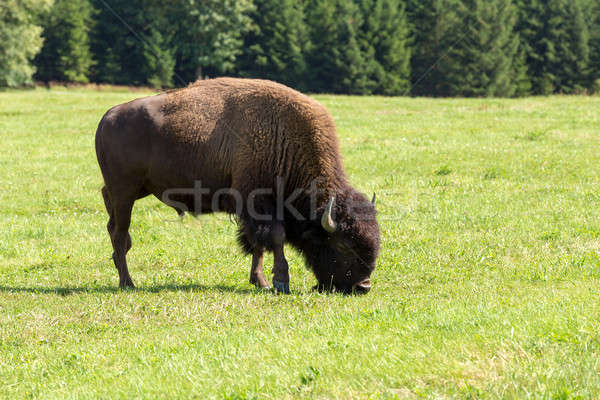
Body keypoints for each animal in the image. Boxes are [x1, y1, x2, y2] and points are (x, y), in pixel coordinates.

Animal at [94, 79, 380, 294]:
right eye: (342, 245)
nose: (363, 286)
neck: (285, 138)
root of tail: (106, 118)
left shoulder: (255, 209)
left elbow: (258, 244)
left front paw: (260, 281)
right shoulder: (259, 203)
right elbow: (275, 238)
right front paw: (280, 282)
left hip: (134, 190)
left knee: (113, 226)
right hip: (125, 192)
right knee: (119, 232)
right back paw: (127, 283)